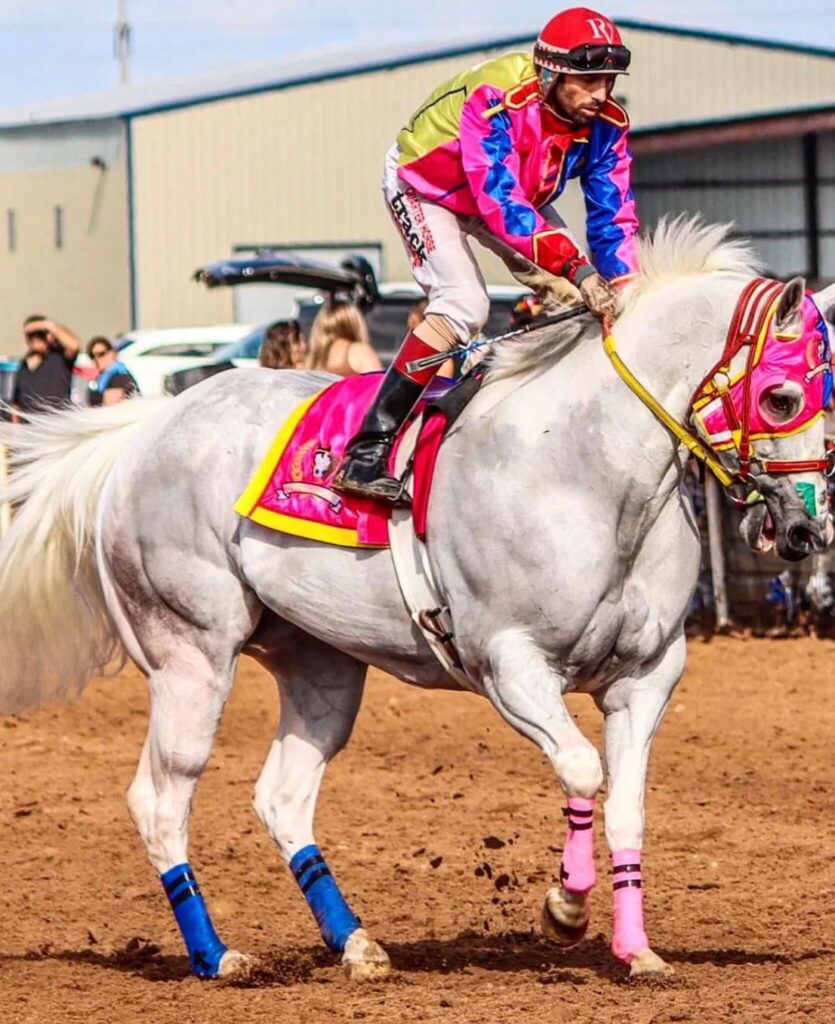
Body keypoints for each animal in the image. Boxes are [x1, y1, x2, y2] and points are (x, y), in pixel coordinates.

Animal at [0, 218, 831, 983]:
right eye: (781, 394)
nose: (803, 528)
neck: (582, 469)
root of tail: (145, 426)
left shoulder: (646, 676)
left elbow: (625, 803)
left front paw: (635, 949)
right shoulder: (508, 664)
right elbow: (580, 771)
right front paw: (564, 907)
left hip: (320, 667)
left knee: (282, 797)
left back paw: (355, 943)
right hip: (189, 655)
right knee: (160, 797)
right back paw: (215, 955)